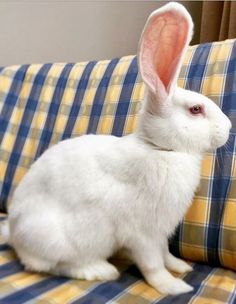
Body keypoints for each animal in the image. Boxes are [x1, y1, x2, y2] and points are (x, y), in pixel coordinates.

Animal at [2, 2, 230, 296]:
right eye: (196, 109)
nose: (228, 128)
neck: (161, 149)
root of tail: (13, 233)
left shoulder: (160, 233)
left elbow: (166, 254)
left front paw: (181, 267)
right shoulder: (142, 234)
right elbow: (153, 264)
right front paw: (174, 287)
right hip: (59, 239)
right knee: (54, 264)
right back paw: (100, 270)